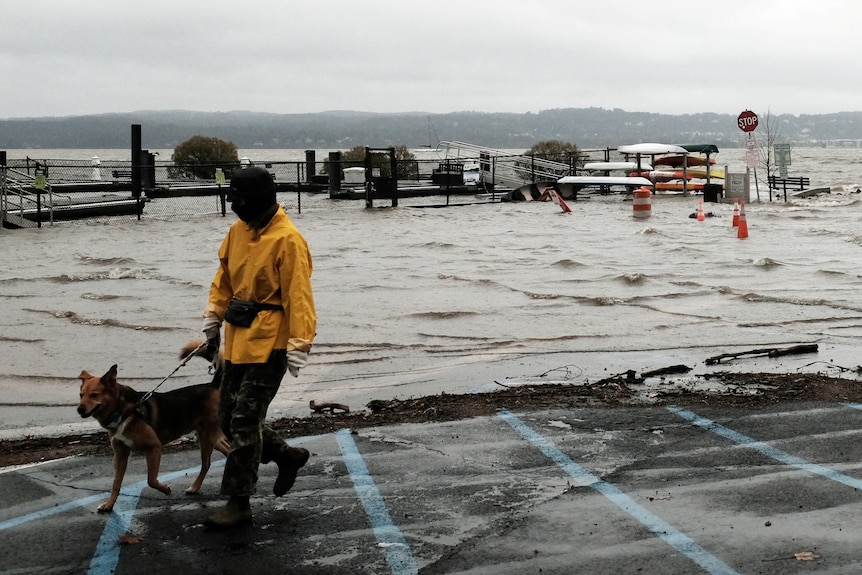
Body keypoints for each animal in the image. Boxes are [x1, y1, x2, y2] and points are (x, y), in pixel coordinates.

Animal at [77, 364, 230, 512]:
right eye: (81, 395)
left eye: (95, 395)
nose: (79, 409)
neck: (122, 411)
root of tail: (212, 385)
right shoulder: (120, 454)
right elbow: (116, 483)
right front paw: (109, 504)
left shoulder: (153, 447)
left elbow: (151, 479)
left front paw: (165, 489)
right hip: (207, 437)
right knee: (227, 450)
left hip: (207, 437)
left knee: (206, 464)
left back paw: (195, 487)